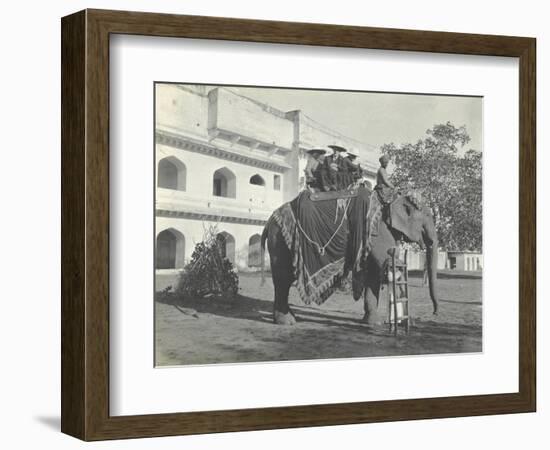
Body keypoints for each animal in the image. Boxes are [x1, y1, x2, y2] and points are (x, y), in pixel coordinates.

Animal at [260, 192, 442, 326]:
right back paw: (287, 322)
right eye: (427, 215)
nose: (435, 313)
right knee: (283, 279)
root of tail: (268, 222)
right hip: (280, 242)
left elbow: (373, 276)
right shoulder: (378, 233)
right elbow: (385, 263)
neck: (389, 205)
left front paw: (373, 323)